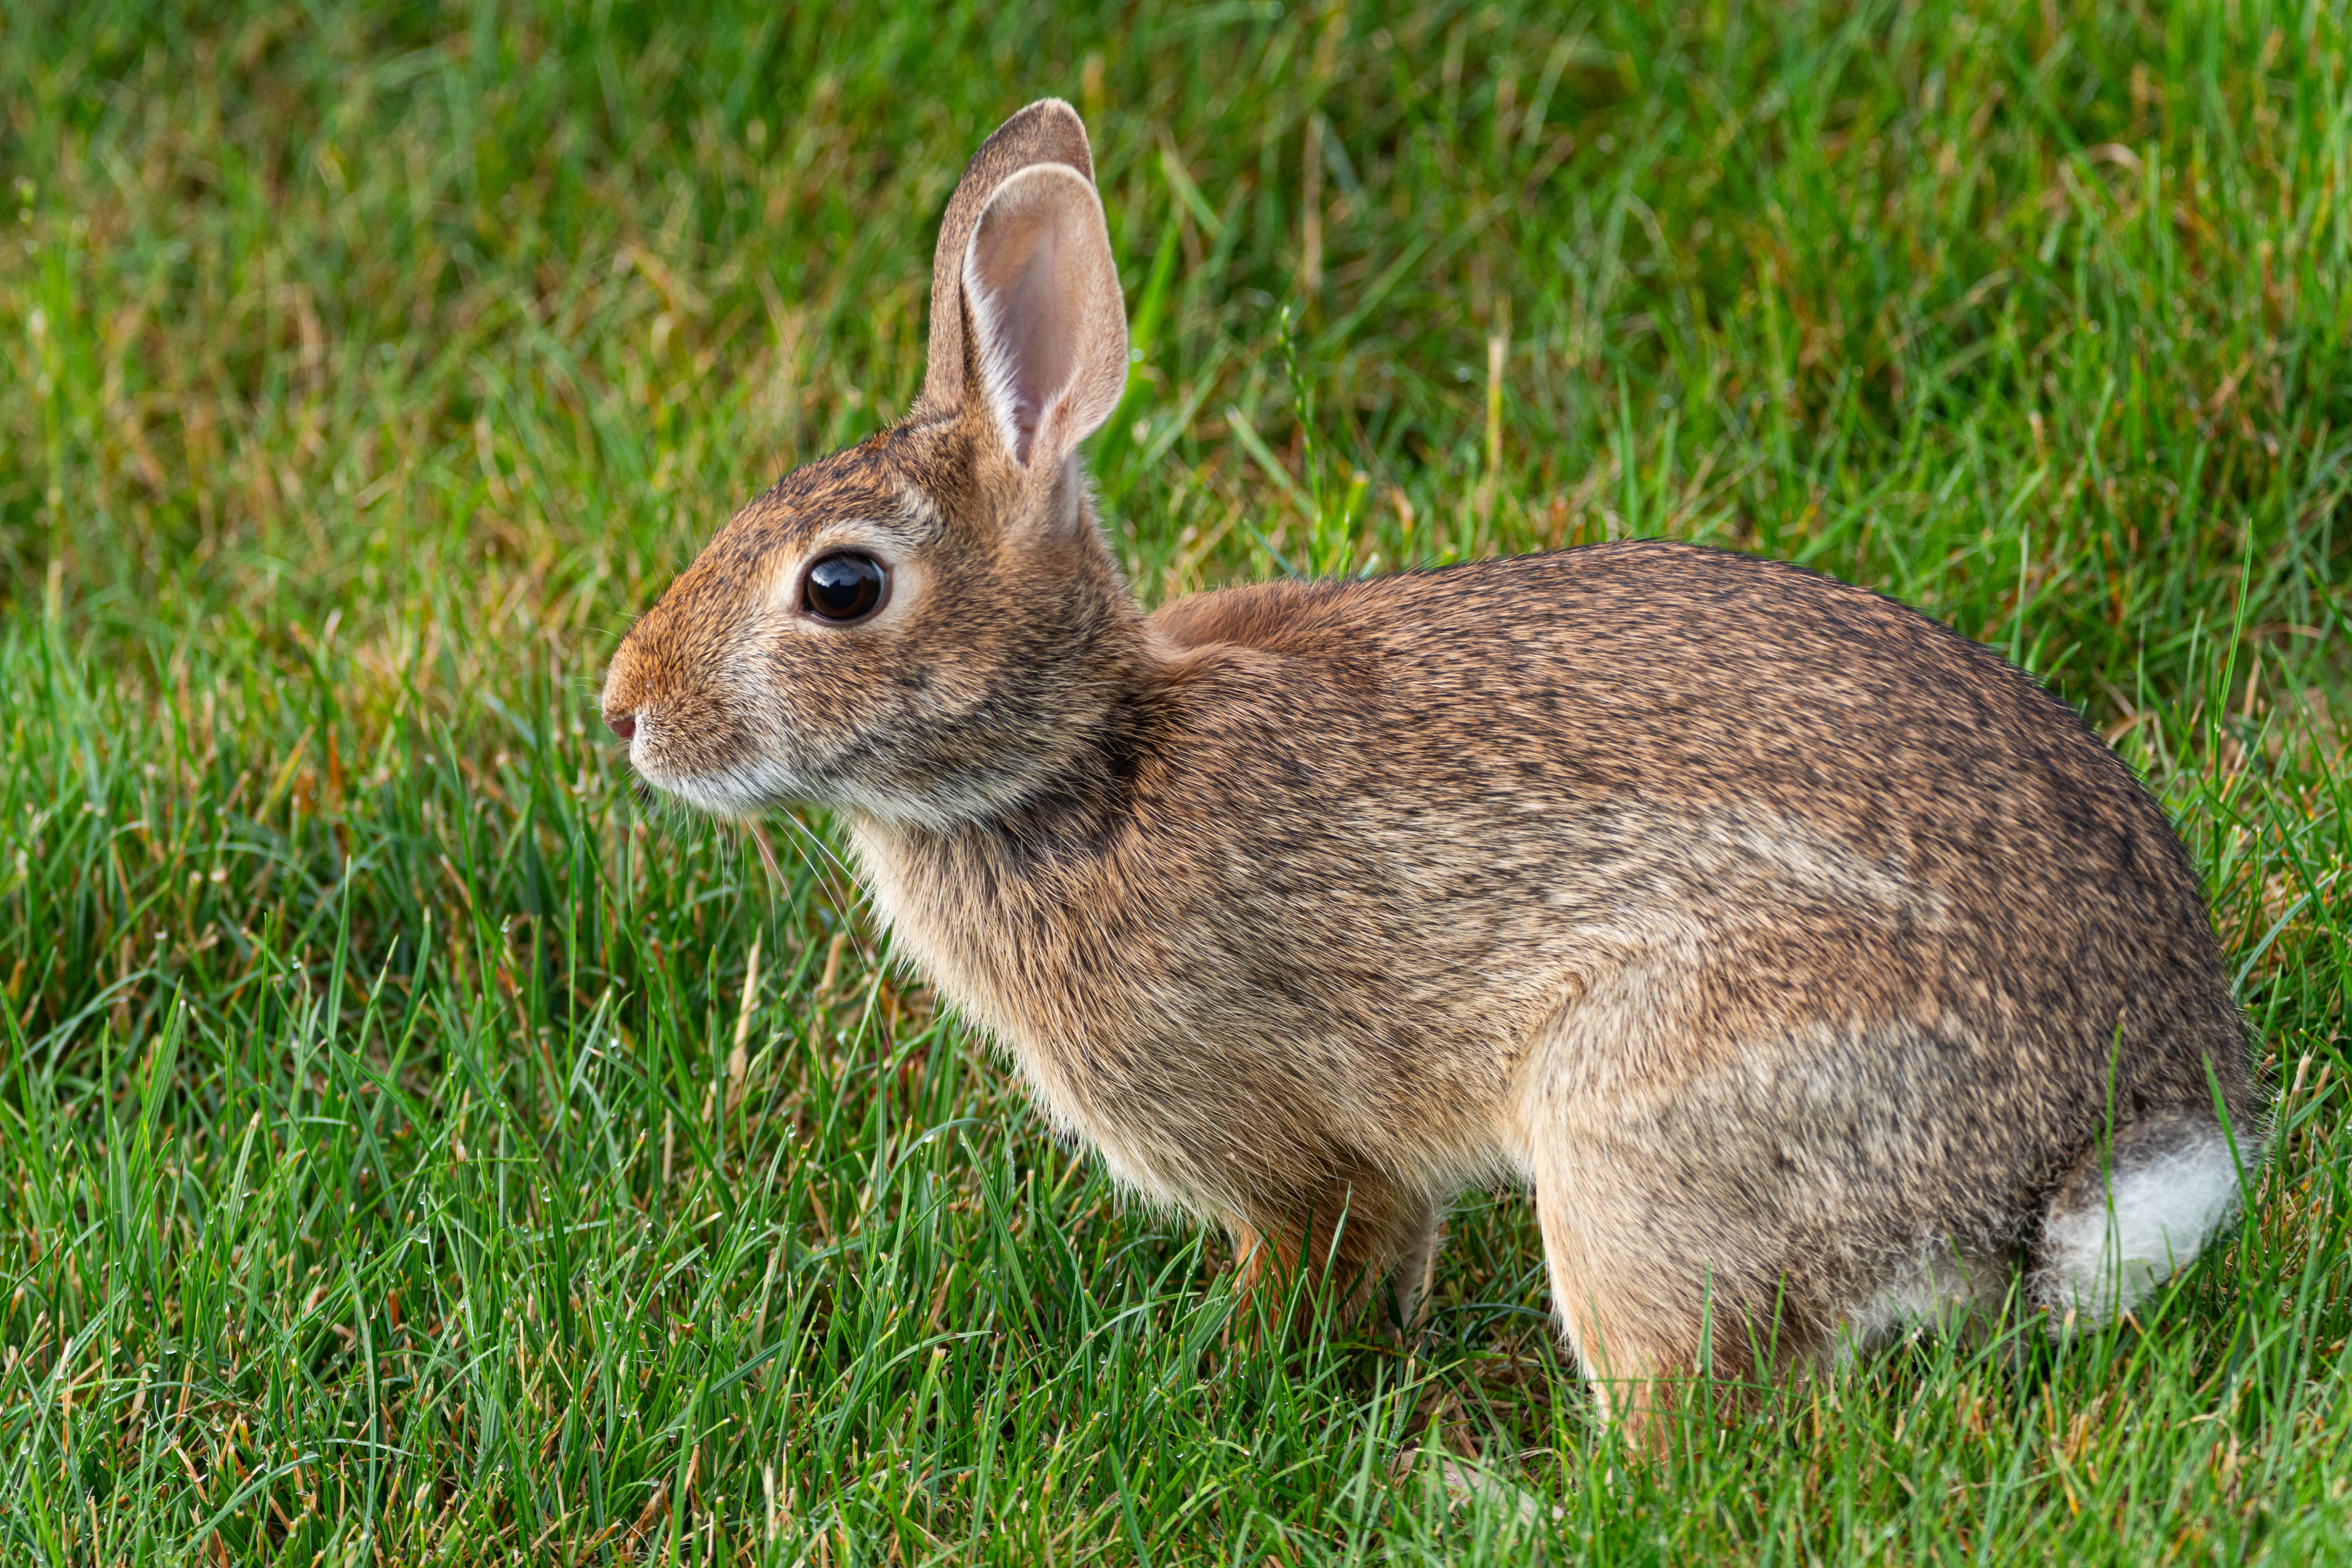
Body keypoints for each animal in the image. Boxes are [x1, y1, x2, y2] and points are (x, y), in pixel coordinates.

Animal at [600, 99, 2264, 1432]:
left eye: (841, 587)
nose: (623, 711)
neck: (1086, 757)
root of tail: (2092, 1161)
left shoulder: (1288, 1140)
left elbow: (1328, 1253)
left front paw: (1232, 1383)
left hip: (1641, 1140)